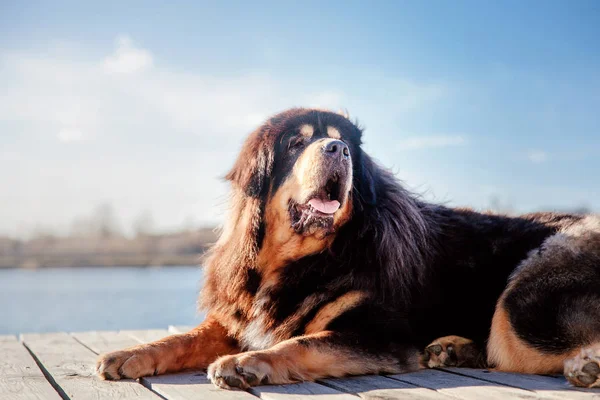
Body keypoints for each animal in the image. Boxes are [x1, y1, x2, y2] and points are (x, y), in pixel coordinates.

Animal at [95, 108, 600, 388]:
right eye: (296, 143)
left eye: (344, 145)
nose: (336, 150)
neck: (304, 257)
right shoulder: (241, 317)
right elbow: (183, 337)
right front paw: (130, 354)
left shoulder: (376, 334)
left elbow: (303, 343)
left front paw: (247, 363)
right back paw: (452, 349)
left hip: (518, 308)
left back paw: (584, 365)